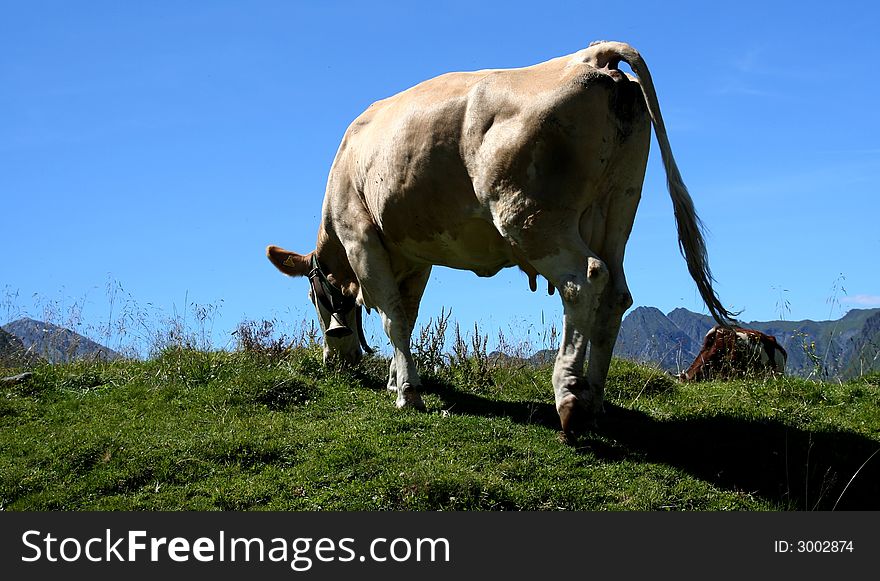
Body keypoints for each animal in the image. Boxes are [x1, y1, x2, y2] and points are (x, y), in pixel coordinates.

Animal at [264, 40, 732, 436]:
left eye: (314, 298)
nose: (334, 363)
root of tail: (591, 55)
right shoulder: (416, 255)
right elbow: (407, 316)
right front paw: (399, 379)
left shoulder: (361, 237)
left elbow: (391, 316)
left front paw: (406, 393)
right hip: (617, 209)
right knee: (615, 294)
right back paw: (596, 401)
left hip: (531, 216)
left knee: (584, 280)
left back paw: (570, 400)